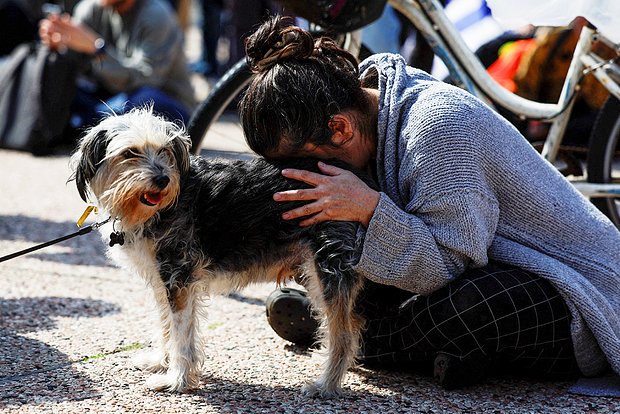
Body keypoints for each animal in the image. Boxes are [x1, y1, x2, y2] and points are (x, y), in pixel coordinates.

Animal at [72, 109, 370, 398]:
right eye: (130, 152)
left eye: (165, 150)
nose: (163, 179)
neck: (155, 210)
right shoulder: (163, 280)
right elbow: (168, 325)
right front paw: (161, 361)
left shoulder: (178, 277)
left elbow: (180, 333)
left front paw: (176, 380)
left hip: (327, 270)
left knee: (344, 336)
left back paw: (326, 386)